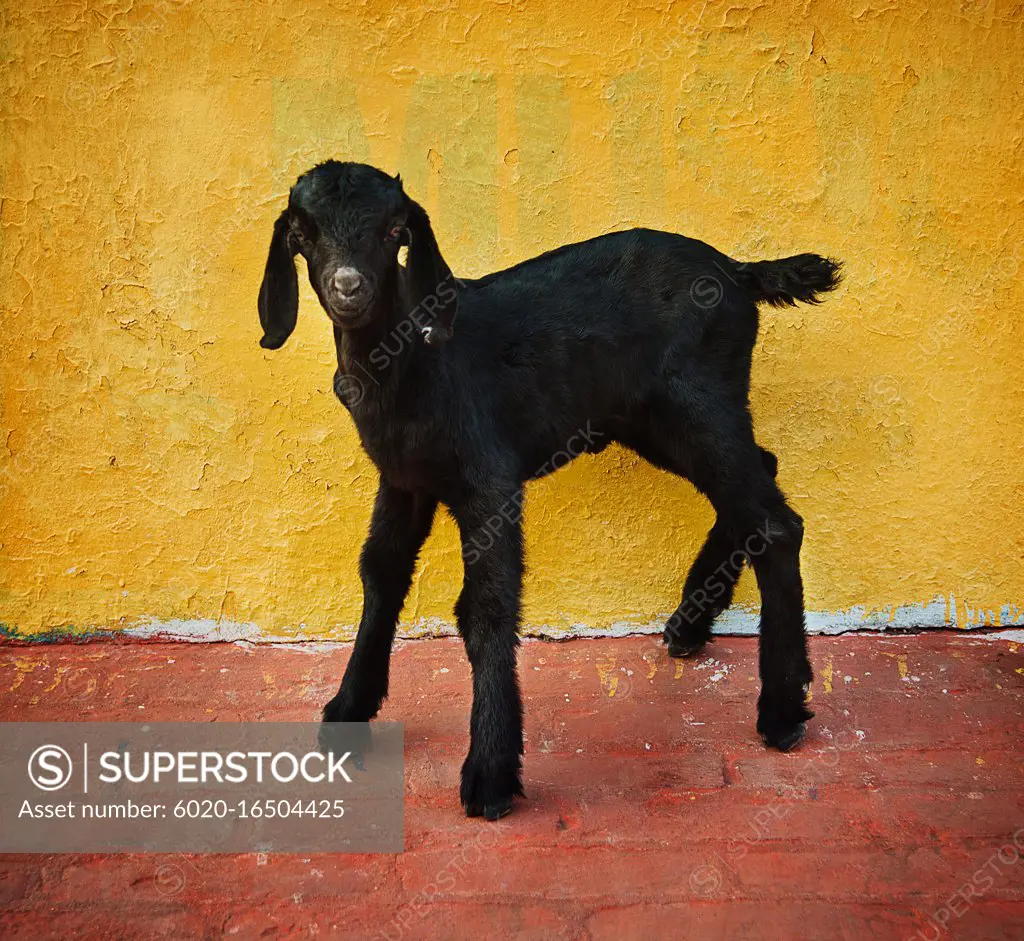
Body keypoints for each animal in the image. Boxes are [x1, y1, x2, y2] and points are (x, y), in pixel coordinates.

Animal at [256, 159, 839, 815]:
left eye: (392, 231)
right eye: (301, 234)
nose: (348, 287)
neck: (413, 359)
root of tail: (739, 273)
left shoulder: (489, 480)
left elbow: (484, 609)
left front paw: (490, 771)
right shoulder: (403, 481)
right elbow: (380, 572)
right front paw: (349, 710)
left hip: (696, 402)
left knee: (775, 523)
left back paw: (783, 709)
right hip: (655, 421)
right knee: (758, 474)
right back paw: (692, 623)